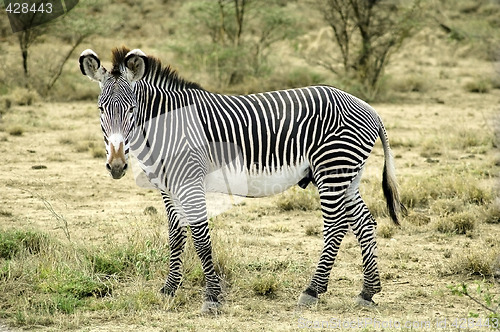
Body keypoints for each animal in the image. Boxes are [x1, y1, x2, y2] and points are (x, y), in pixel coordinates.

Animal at [79, 46, 406, 314]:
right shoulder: (168, 187)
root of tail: (368, 107)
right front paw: (169, 290)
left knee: (336, 226)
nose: (117, 166)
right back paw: (367, 291)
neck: (166, 128)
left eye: (132, 109)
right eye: (101, 110)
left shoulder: (190, 181)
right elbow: (175, 237)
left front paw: (212, 297)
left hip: (333, 168)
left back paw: (313, 290)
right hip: (348, 174)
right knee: (364, 222)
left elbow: (200, 238)